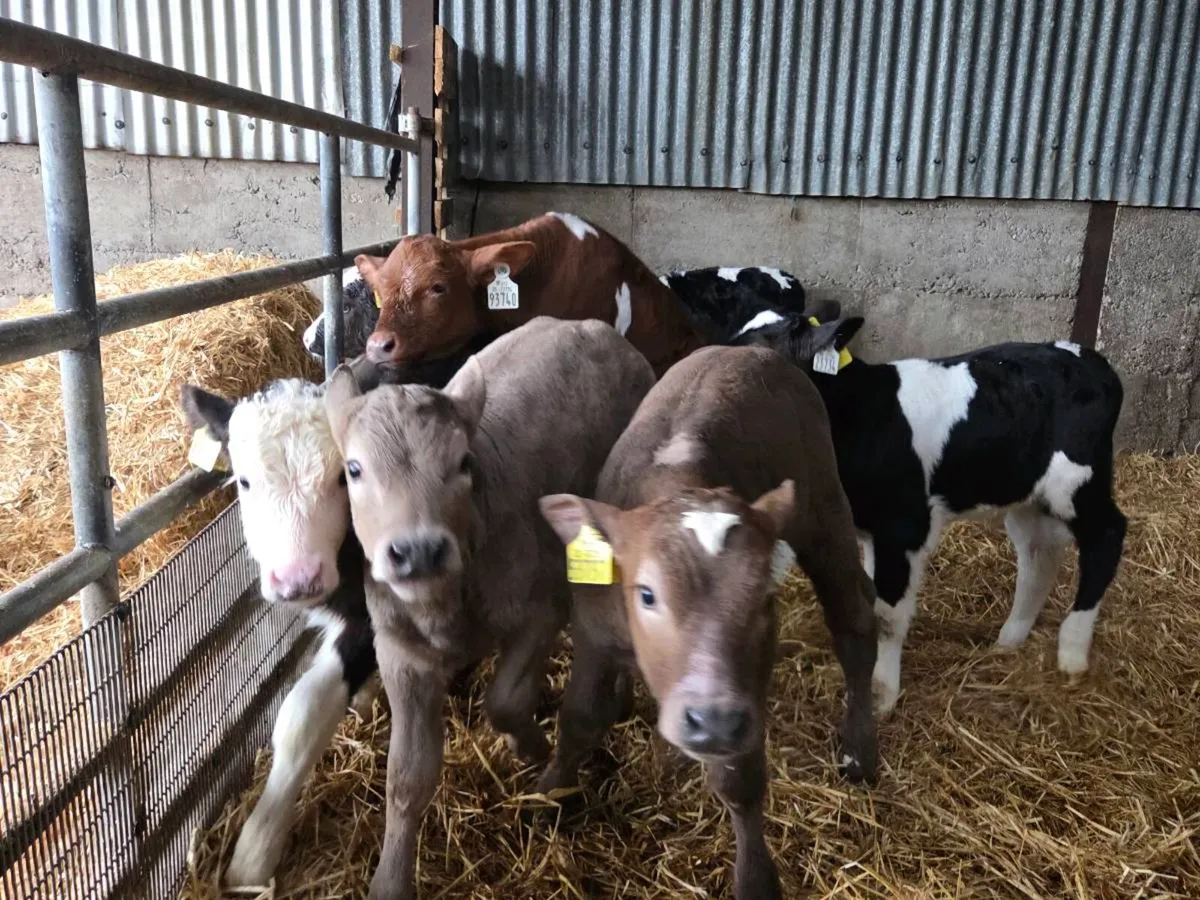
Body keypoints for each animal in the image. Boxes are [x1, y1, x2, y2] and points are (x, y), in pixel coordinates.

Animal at [324, 317, 656, 900]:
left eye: (463, 463)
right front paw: (390, 878)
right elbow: (406, 776)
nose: (418, 550)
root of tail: (593, 327)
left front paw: (536, 750)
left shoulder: (541, 611)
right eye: (354, 470)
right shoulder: (400, 651)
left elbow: (505, 701)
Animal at [537, 344, 878, 900]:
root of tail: (754, 349)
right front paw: (548, 797)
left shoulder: (744, 685)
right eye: (647, 594)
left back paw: (859, 749)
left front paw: (756, 878)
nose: (709, 720)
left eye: (764, 599)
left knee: (854, 619)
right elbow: (580, 717)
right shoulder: (593, 632)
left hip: (824, 504)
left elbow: (739, 776)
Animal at [734, 305, 1127, 714]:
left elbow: (887, 615)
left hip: (1077, 482)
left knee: (1107, 536)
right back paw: (1010, 639)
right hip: (1027, 494)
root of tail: (1092, 359)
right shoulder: (873, 529)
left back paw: (1072, 651)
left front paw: (881, 694)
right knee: (1039, 553)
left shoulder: (903, 526)